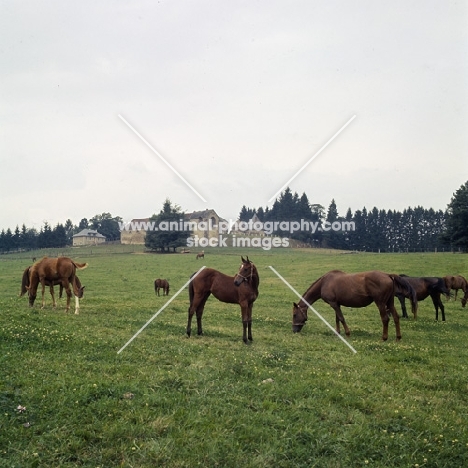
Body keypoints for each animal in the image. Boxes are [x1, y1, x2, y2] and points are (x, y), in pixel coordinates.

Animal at [290, 268, 418, 342]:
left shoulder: (334, 304)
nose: (294, 330)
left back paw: (384, 338)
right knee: (396, 317)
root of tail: (388, 275)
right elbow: (337, 318)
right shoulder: (336, 304)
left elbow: (341, 318)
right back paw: (398, 337)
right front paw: (337, 333)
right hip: (390, 303)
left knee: (385, 319)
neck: (324, 282)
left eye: (295, 315)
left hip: (381, 303)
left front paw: (347, 333)